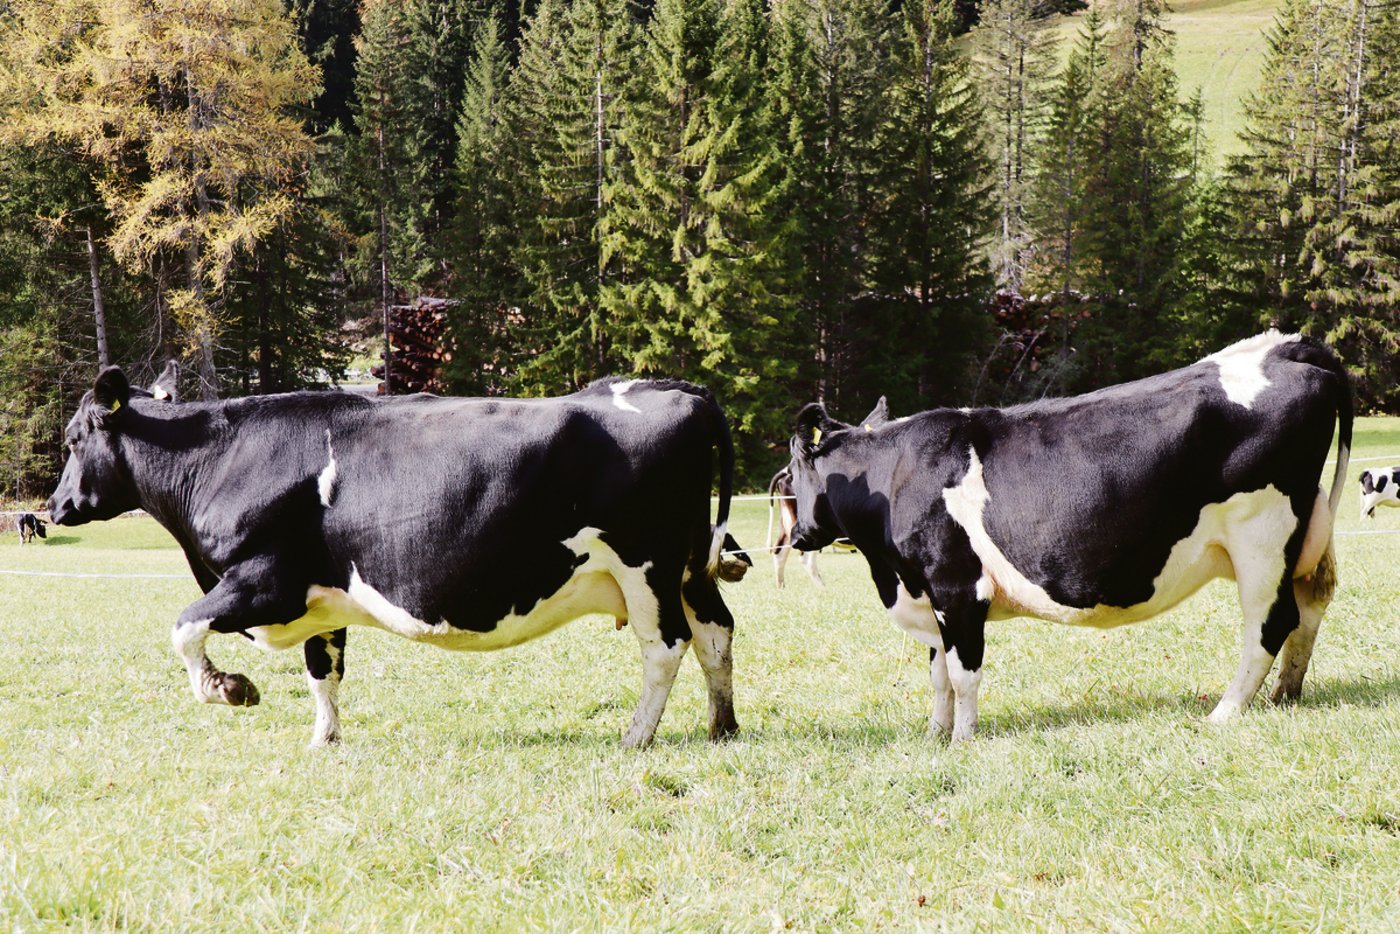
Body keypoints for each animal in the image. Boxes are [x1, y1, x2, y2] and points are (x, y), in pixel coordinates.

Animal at [47, 368, 749, 748]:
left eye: (74, 439)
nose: (54, 506)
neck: (219, 459)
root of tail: (676, 388)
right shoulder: (320, 598)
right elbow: (323, 670)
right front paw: (324, 740)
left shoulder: (264, 581)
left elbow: (184, 628)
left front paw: (230, 688)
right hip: (689, 567)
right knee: (716, 634)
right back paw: (723, 727)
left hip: (646, 567)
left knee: (666, 646)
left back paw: (635, 737)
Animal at [783, 332, 1352, 741]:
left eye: (788, 473)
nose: (799, 536)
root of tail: (1288, 345)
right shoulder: (929, 593)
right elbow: (939, 674)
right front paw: (933, 734)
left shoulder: (958, 587)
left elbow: (963, 673)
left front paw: (962, 739)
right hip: (1299, 539)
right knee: (1309, 608)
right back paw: (1284, 695)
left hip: (1262, 536)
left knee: (1270, 622)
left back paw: (1226, 711)